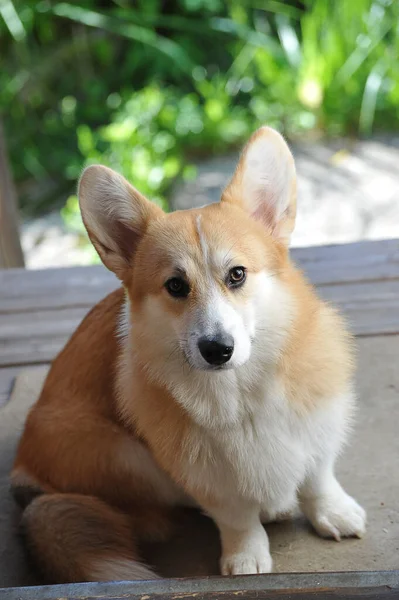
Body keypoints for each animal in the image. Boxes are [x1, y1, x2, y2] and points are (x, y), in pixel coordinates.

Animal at [10, 125, 366, 580]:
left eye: (237, 275)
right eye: (176, 286)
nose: (217, 350)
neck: (241, 391)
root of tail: (23, 471)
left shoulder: (315, 424)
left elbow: (318, 476)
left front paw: (333, 513)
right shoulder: (201, 469)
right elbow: (235, 515)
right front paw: (246, 556)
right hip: (122, 452)